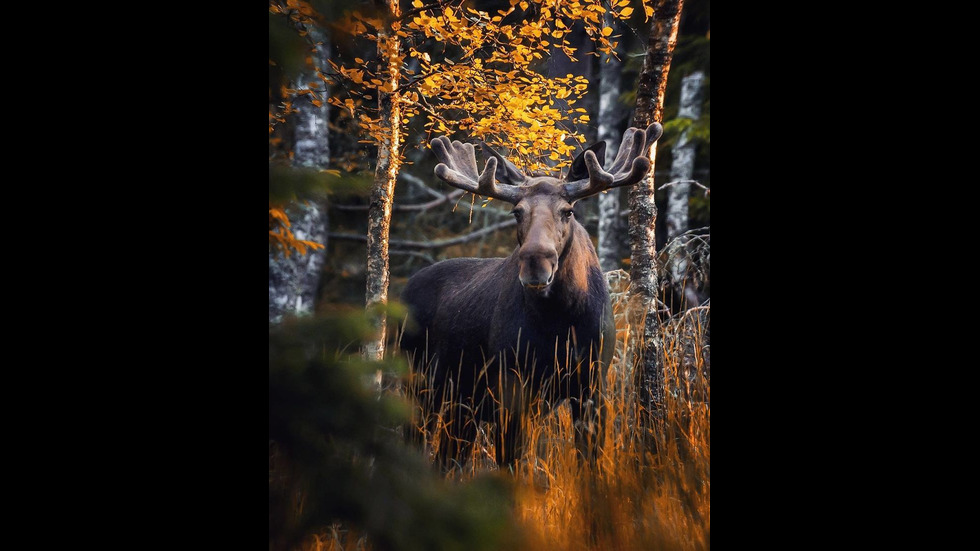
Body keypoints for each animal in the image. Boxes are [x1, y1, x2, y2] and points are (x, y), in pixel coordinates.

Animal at [400, 124, 668, 470]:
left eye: (567, 211)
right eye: (517, 211)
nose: (536, 263)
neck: (559, 321)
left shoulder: (593, 383)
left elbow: (590, 463)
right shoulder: (511, 384)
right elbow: (511, 464)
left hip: (461, 402)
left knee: (447, 458)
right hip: (418, 383)